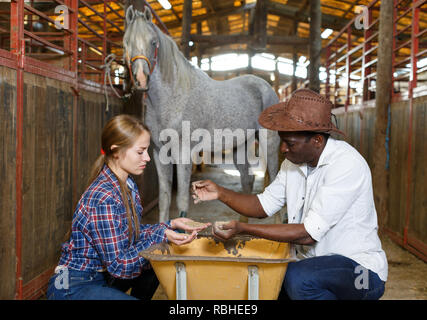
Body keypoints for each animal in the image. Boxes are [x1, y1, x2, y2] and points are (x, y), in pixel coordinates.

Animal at [123, 5, 280, 221]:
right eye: (126, 43)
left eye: (153, 42)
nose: (141, 79)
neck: (173, 97)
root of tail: (266, 87)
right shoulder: (159, 153)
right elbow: (164, 199)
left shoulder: (183, 154)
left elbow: (181, 200)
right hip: (240, 146)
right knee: (247, 180)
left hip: (268, 141)